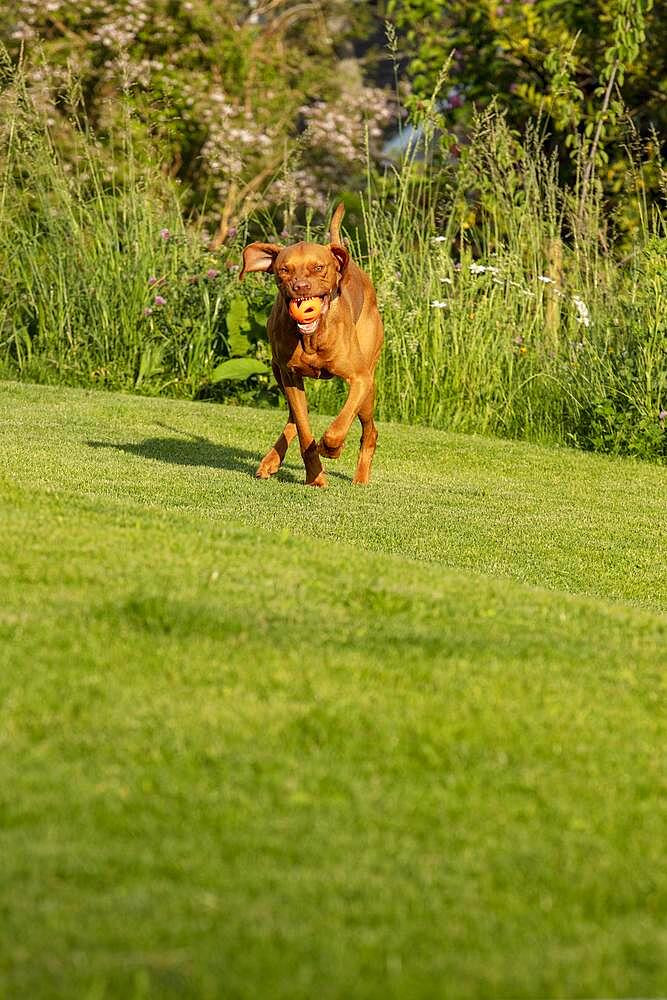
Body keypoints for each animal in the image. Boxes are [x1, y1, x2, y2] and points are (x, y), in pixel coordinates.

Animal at [241, 202, 386, 484]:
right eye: (284, 270)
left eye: (319, 268)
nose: (301, 287)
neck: (311, 336)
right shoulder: (290, 375)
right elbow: (304, 431)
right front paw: (315, 478)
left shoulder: (360, 379)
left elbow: (338, 425)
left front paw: (332, 447)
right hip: (278, 370)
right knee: (294, 416)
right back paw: (271, 461)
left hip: (369, 384)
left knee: (370, 431)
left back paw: (360, 478)